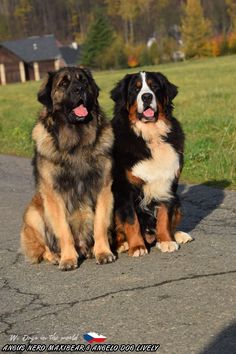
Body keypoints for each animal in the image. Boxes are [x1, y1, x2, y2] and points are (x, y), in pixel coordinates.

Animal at [21, 68, 115, 270]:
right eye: (63, 84)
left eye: (84, 81)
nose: (79, 89)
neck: (76, 142)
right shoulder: (53, 194)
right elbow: (64, 230)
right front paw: (68, 258)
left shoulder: (103, 188)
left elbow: (100, 224)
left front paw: (103, 252)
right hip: (33, 214)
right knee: (45, 248)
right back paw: (56, 256)